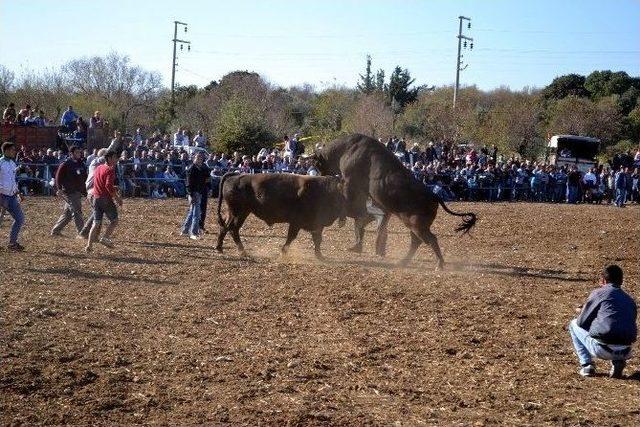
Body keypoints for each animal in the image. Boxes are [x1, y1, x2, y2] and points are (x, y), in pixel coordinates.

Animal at [215, 171, 344, 260]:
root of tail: (236, 176)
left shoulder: (317, 225)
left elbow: (317, 239)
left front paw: (320, 255)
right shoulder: (296, 223)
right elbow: (291, 237)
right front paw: (283, 253)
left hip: (237, 212)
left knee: (224, 227)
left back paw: (220, 249)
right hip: (239, 213)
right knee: (233, 229)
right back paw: (243, 252)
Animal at [312, 133, 478, 270]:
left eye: (317, 163)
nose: (321, 175)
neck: (348, 148)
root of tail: (434, 196)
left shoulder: (349, 181)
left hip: (417, 224)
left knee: (430, 239)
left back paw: (439, 264)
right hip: (414, 225)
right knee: (416, 241)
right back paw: (403, 261)